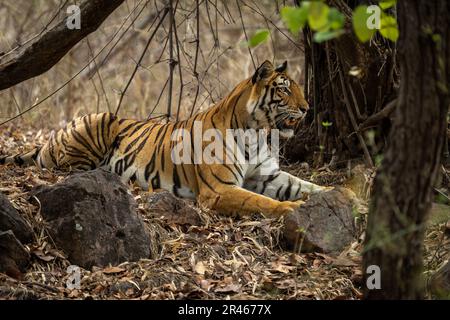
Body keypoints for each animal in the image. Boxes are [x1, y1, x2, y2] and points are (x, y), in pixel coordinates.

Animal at [0, 60, 330, 218]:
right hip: (95, 123)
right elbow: (260, 201)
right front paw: (291, 210)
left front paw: (338, 194)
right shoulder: (219, 189)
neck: (257, 133)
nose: (307, 108)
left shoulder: (267, 175)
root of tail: (52, 138)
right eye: (284, 89)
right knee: (66, 167)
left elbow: (305, 185)